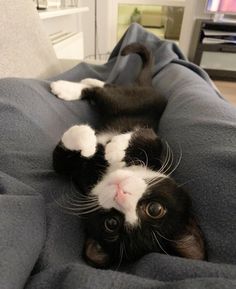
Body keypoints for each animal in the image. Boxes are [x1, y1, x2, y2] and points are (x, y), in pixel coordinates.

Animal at [50, 42, 206, 268]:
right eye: (155, 209)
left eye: (112, 223)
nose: (120, 194)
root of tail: (151, 87)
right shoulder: (157, 148)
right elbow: (152, 140)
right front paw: (105, 145)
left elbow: (59, 163)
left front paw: (93, 142)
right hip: (137, 100)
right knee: (107, 91)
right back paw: (70, 86)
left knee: (108, 91)